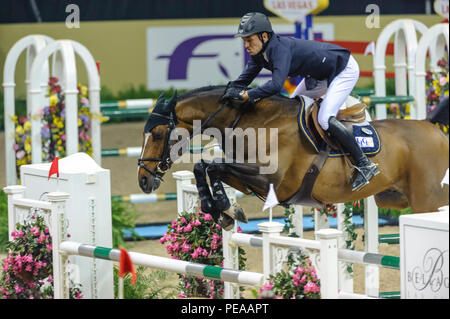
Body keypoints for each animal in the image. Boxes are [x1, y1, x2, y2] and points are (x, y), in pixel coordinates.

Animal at [138, 85, 450, 230]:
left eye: (157, 134)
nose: (142, 180)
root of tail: (434, 129)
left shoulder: (271, 180)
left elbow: (211, 167)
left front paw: (226, 209)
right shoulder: (250, 181)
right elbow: (204, 167)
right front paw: (223, 212)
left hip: (428, 201)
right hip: (394, 198)